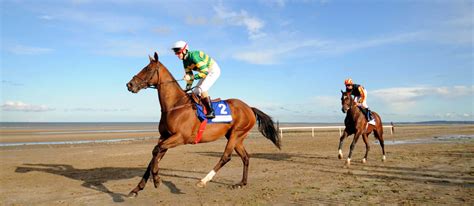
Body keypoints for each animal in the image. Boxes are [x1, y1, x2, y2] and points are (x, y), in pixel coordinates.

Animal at [126, 52, 282, 197]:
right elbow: (154, 156)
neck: (175, 105)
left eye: (148, 69)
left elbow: (155, 151)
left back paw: (203, 181)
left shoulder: (180, 137)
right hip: (237, 137)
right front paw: (137, 188)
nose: (130, 85)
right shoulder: (164, 137)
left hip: (236, 133)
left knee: (226, 157)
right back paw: (241, 183)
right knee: (245, 157)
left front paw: (157, 179)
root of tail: (249, 107)